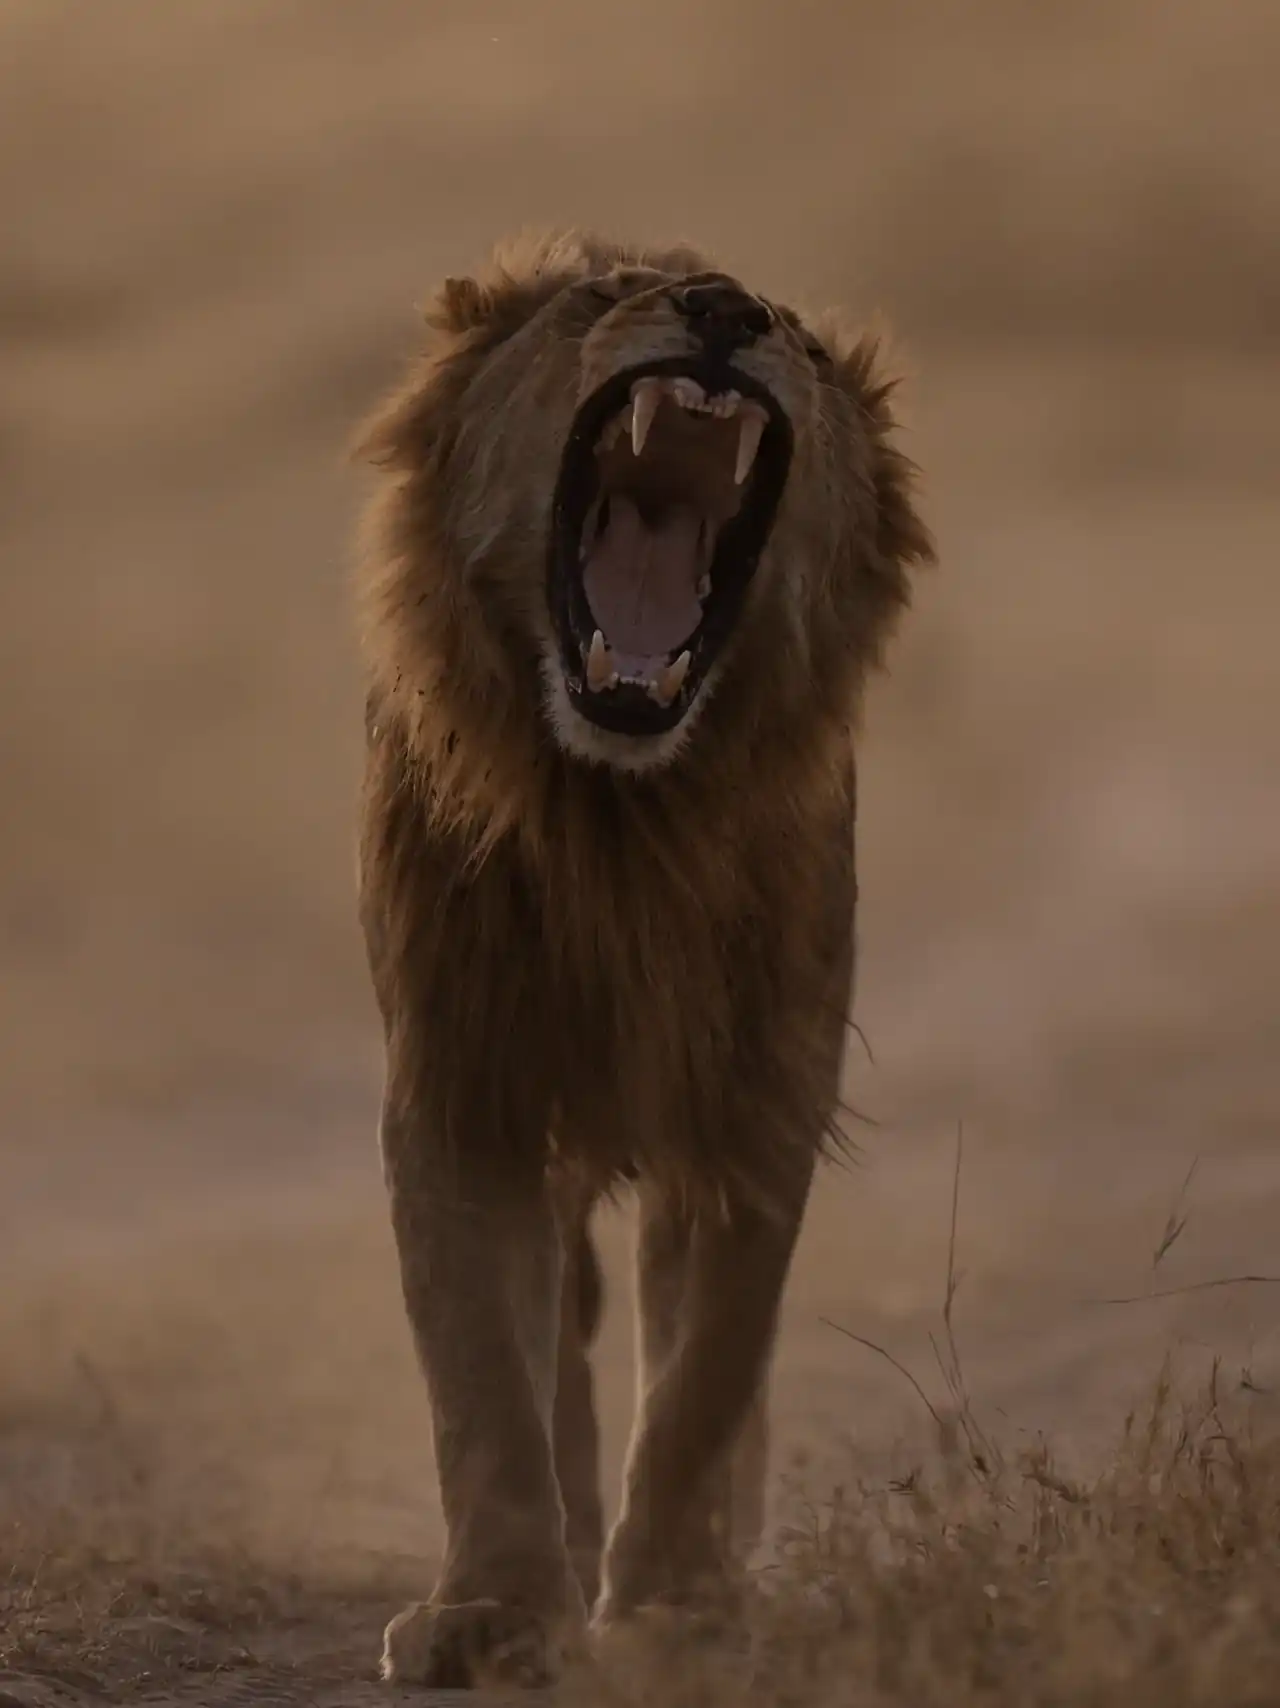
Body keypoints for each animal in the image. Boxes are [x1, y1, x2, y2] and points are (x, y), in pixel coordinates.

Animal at [353, 229, 933, 1688]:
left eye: (799, 337)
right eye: (599, 300)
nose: (724, 311)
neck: (623, 817)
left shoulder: (756, 1098)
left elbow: (706, 1377)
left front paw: (678, 1604)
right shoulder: (463, 1081)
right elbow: (479, 1373)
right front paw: (495, 1608)